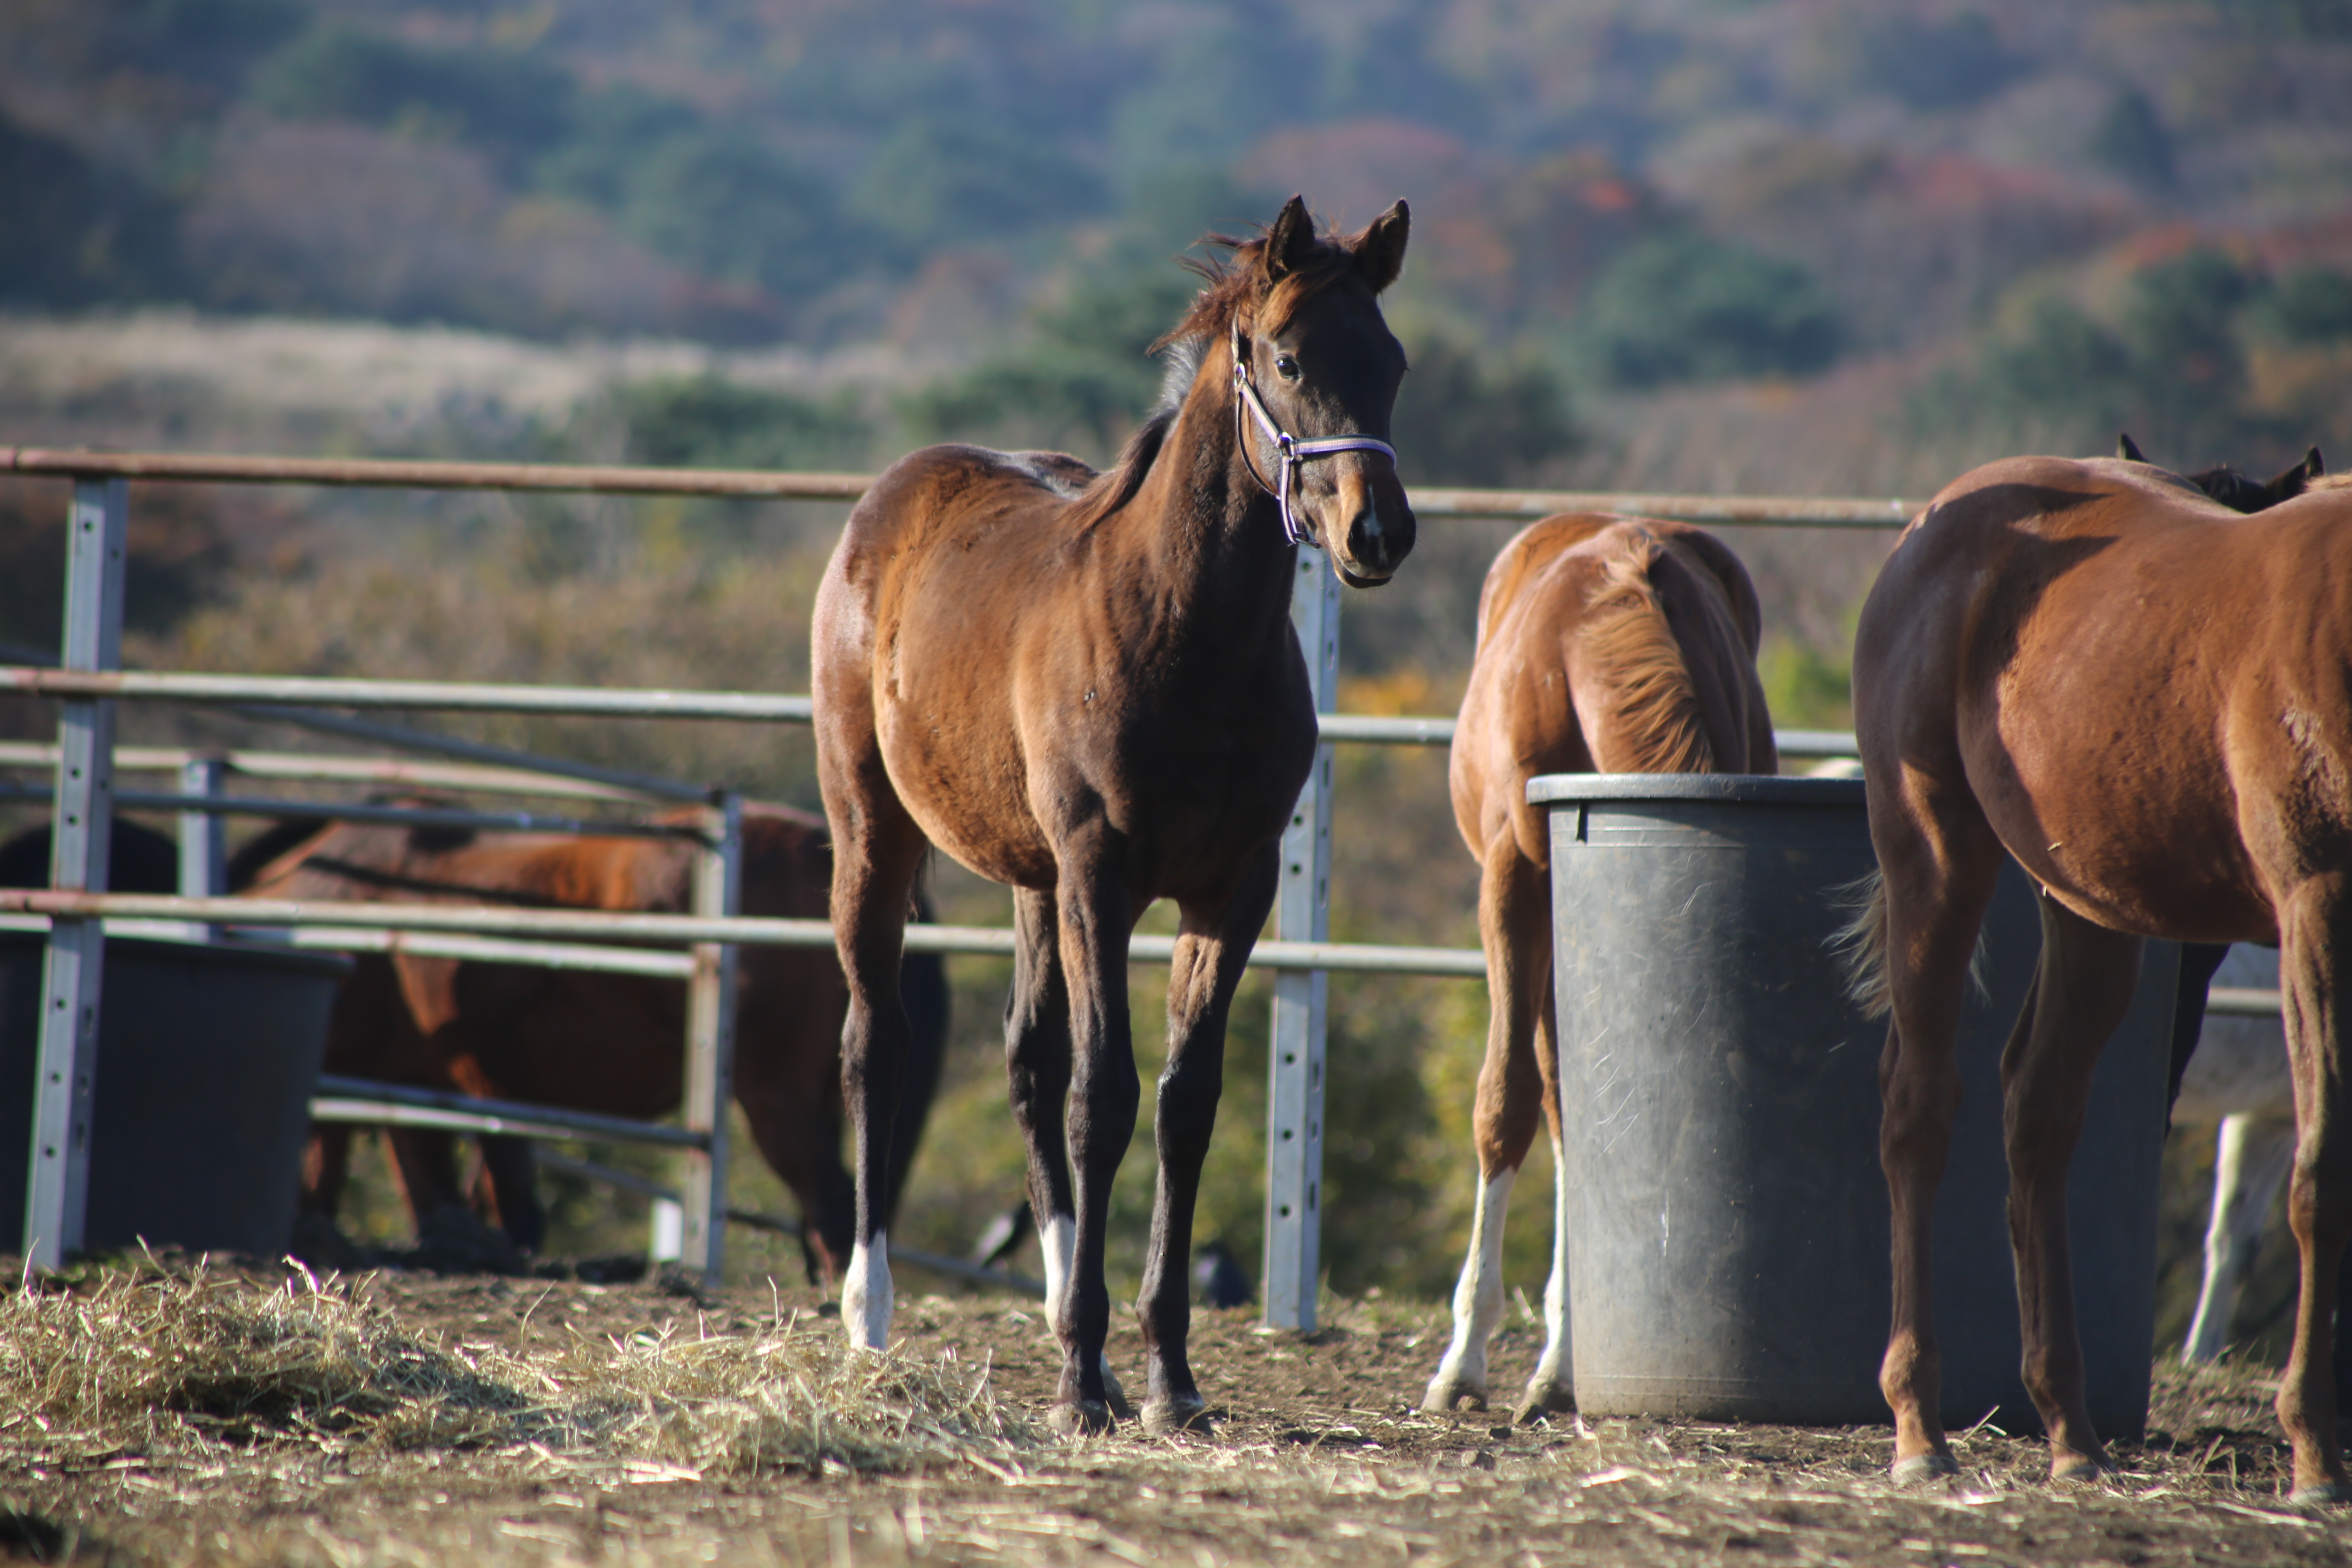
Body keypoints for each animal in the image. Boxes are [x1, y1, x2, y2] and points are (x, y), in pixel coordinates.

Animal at [1411, 517, 1778, 1420]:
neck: (1582, 651)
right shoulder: (1513, 878)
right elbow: (1506, 1098)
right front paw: (1464, 1361)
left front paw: (1555, 1361)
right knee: (1547, 1091)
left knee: (1565, 1101)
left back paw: (1561, 1359)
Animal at [1844, 446, 2352, 1504]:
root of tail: (1940, 517)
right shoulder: (2316, 902)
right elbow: (2322, 1174)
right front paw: (2314, 1455)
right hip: (1934, 855)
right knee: (1917, 1107)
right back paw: (1919, 1425)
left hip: (2089, 913)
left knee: (2035, 1113)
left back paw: (2069, 1427)